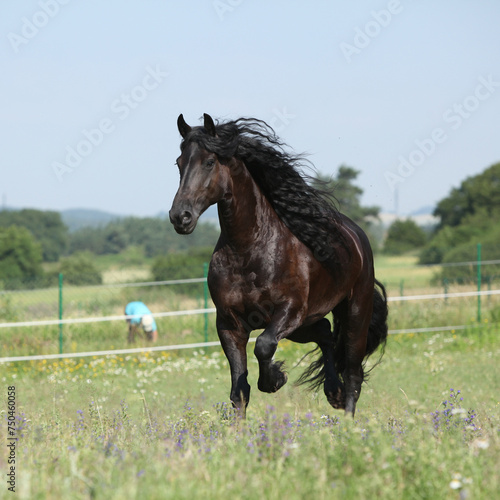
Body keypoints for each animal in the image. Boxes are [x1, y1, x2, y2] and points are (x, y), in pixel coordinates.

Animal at [170, 115, 388, 416]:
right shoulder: (229, 323)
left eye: (210, 162)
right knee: (326, 335)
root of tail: (357, 237)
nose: (180, 217)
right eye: (178, 163)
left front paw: (276, 379)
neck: (249, 251)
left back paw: (346, 418)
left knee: (353, 373)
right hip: (306, 324)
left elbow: (263, 346)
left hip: (354, 313)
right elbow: (239, 390)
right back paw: (333, 391)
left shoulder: (288, 311)